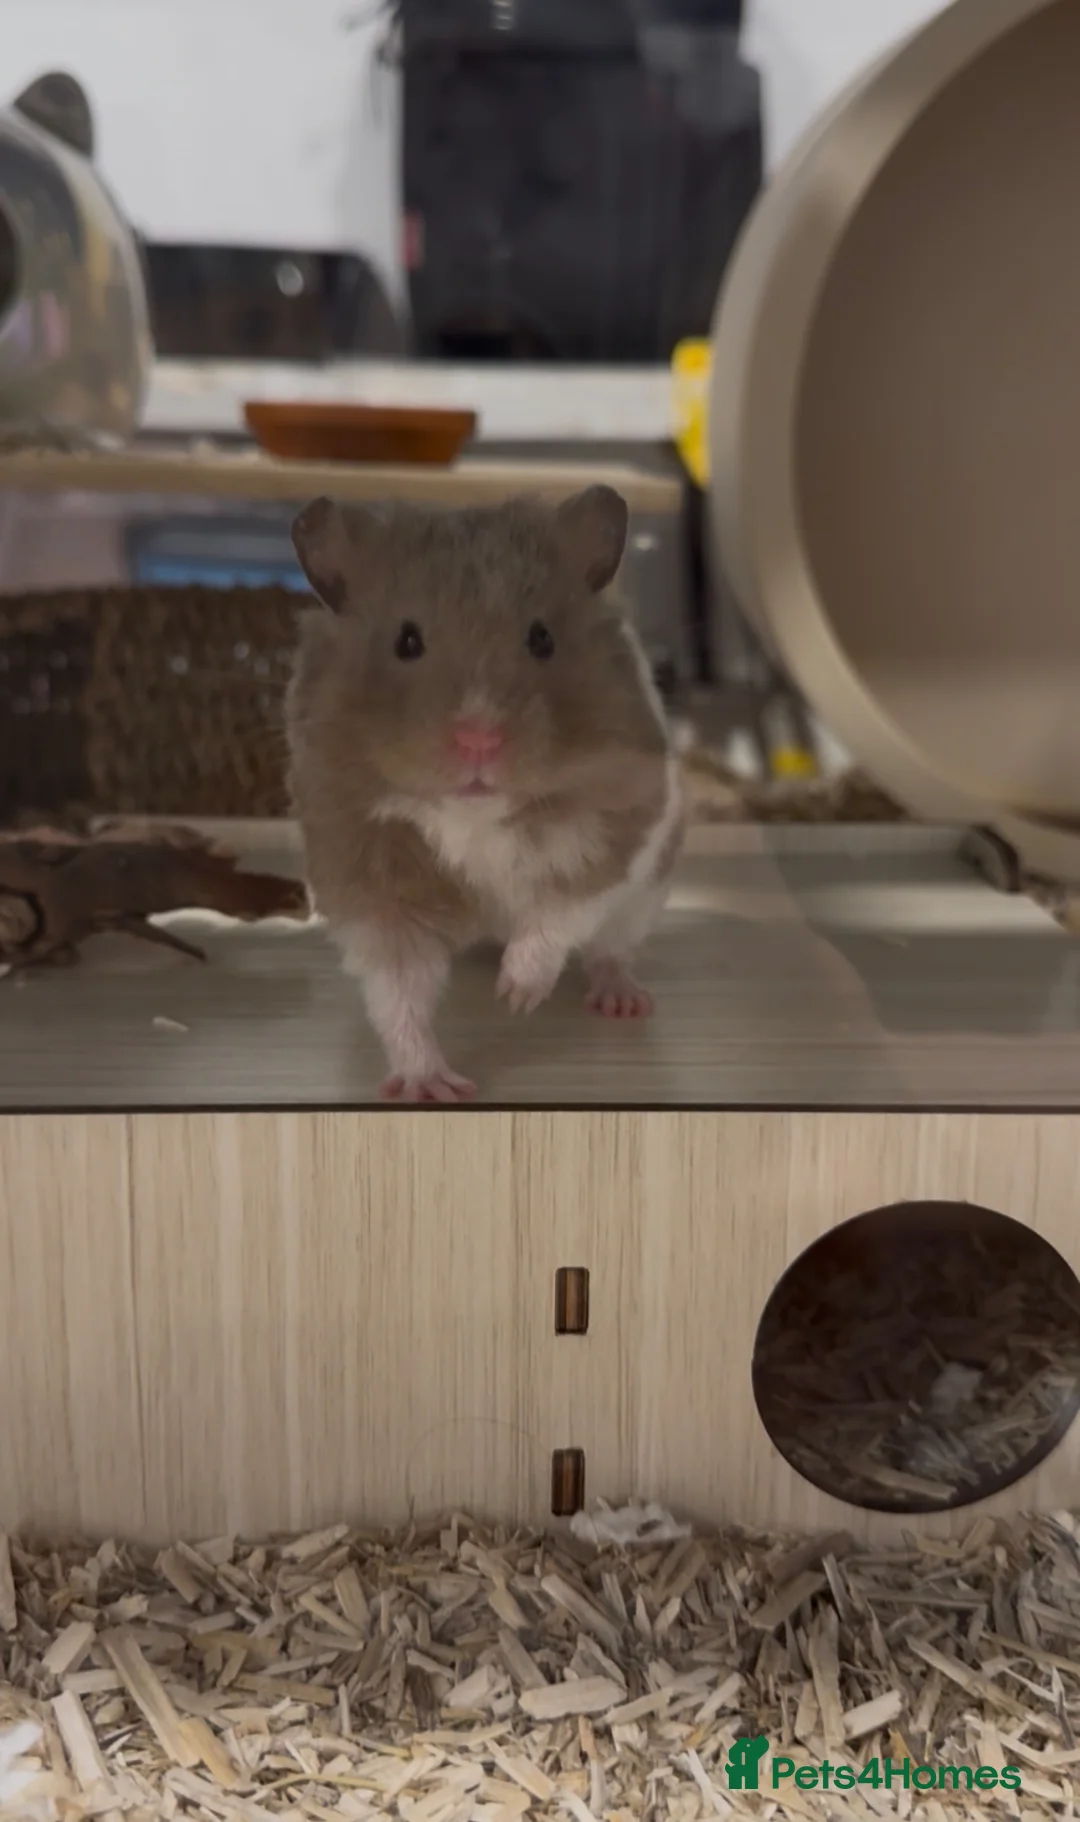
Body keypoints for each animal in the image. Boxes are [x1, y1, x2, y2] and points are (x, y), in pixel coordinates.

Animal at [286, 485, 684, 1102]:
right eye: (406, 640)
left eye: (542, 637)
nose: (479, 739)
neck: (472, 815)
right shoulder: (370, 878)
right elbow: (400, 992)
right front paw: (432, 1087)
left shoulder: (619, 826)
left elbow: (560, 909)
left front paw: (516, 997)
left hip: (646, 898)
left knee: (609, 951)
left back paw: (623, 1002)